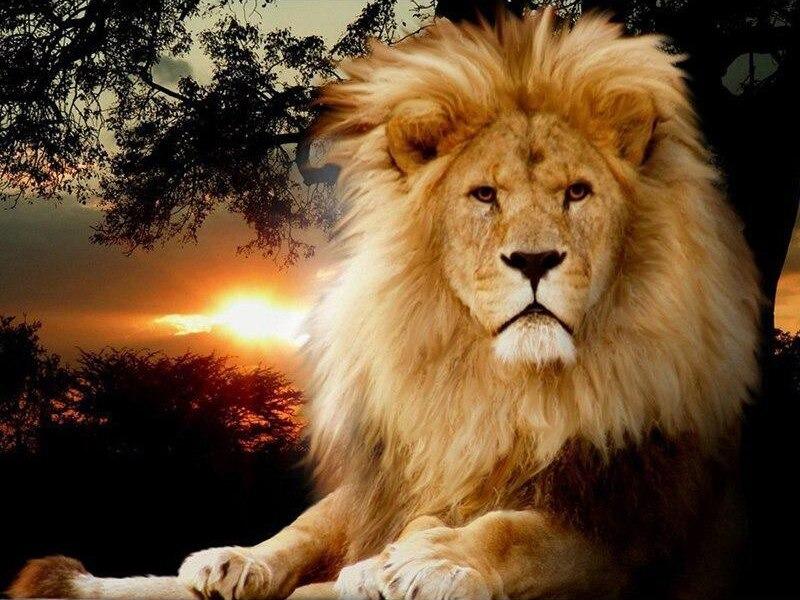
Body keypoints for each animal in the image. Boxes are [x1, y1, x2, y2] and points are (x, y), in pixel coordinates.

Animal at [9, 8, 761, 600]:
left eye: (578, 192)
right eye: (484, 195)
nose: (534, 261)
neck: (500, 387)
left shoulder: (639, 525)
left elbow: (515, 530)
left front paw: (426, 559)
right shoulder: (401, 469)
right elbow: (320, 521)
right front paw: (246, 560)